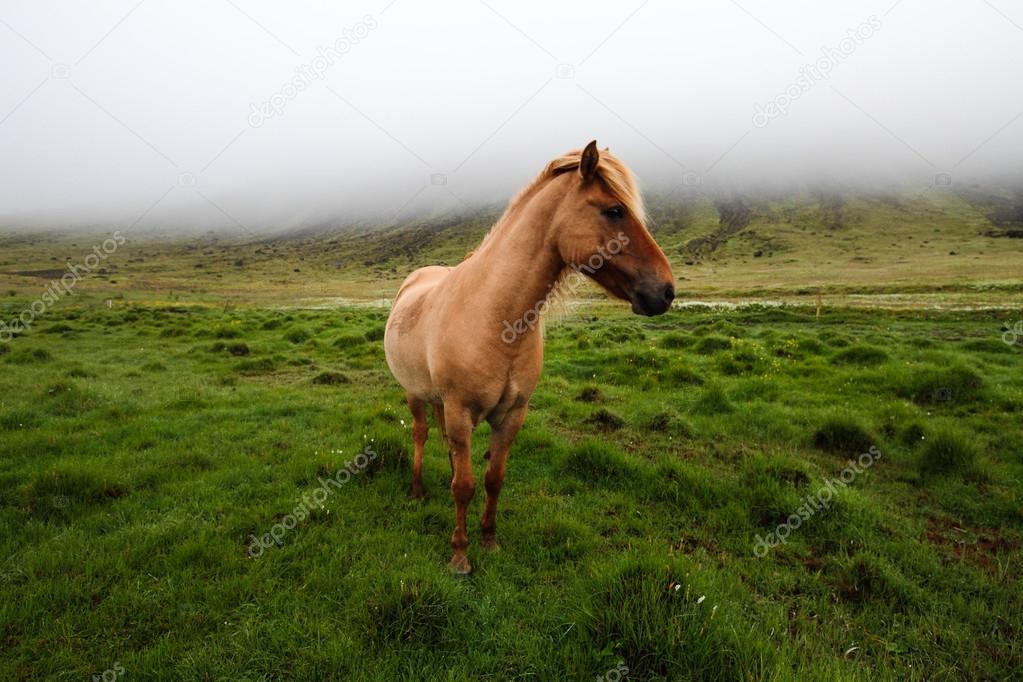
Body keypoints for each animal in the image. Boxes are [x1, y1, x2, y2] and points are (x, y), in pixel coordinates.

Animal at [386, 140, 675, 572]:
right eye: (614, 210)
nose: (666, 290)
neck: (495, 317)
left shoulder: (511, 415)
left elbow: (492, 479)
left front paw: (489, 541)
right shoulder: (461, 411)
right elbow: (464, 486)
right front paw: (460, 555)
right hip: (415, 394)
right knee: (421, 435)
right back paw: (418, 490)